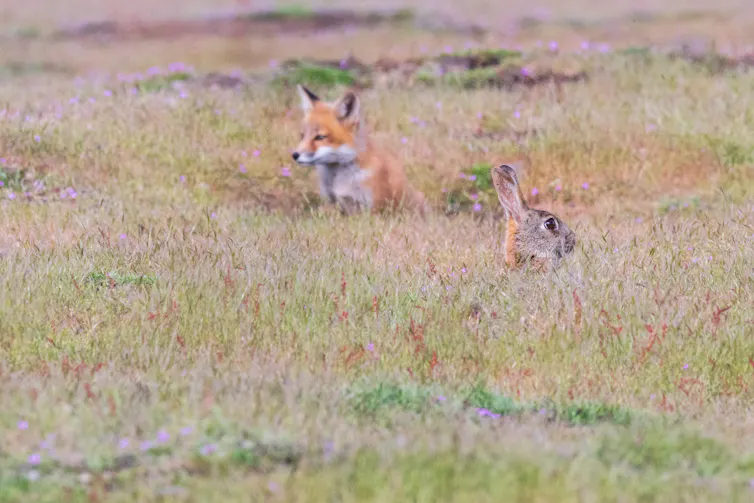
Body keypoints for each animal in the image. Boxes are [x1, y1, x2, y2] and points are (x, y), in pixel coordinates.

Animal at [291, 85, 428, 216]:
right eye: (302, 135)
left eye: (320, 137)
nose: (295, 155)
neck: (338, 179)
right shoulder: (331, 202)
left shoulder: (371, 209)